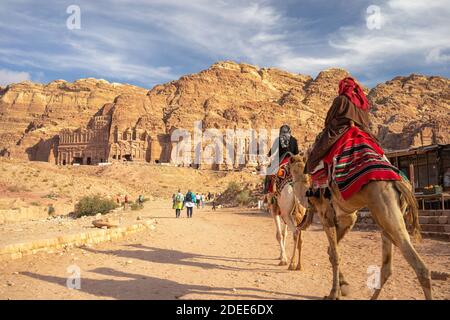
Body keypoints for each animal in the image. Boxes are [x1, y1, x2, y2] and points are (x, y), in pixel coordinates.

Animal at [288, 155, 432, 300]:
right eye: (293, 169)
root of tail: (400, 182)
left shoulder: (326, 216)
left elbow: (334, 255)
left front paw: (334, 293)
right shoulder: (347, 219)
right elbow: (331, 251)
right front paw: (343, 286)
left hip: (386, 210)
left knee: (420, 268)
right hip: (387, 218)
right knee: (387, 267)